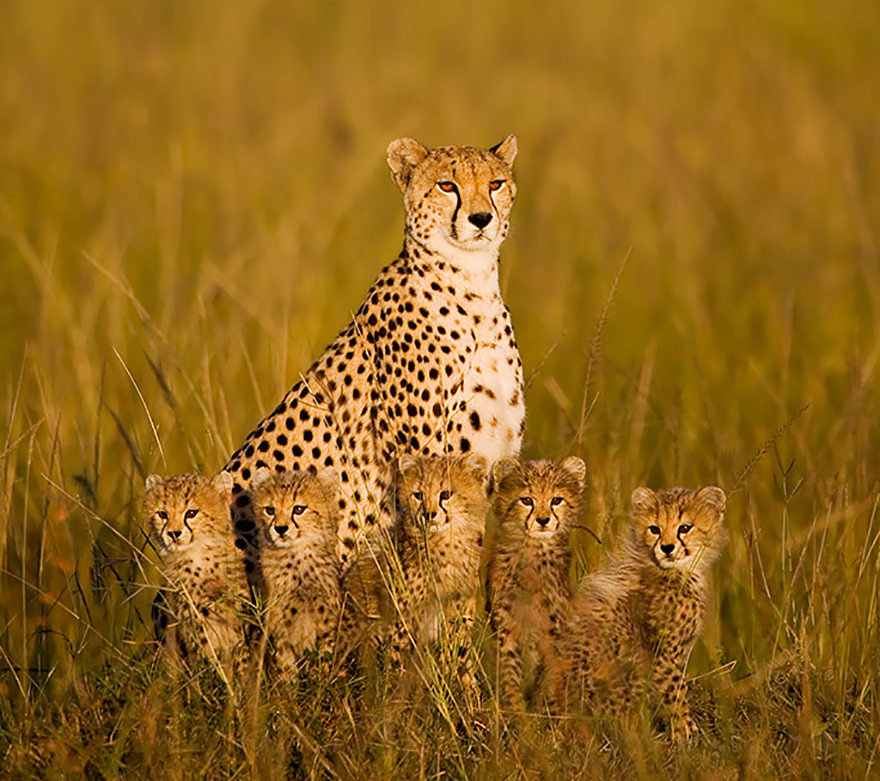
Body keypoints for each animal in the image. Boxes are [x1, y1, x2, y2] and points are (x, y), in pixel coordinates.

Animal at [142, 472, 251, 675]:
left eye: (191, 513)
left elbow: (243, 656)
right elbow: (206, 657)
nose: (173, 534)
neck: (199, 557)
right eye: (162, 514)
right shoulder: (193, 623)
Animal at [249, 468, 342, 677]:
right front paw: (289, 684)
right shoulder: (279, 630)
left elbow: (322, 660)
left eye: (299, 509)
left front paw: (320, 682)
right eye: (270, 510)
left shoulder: (326, 625)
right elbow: (286, 666)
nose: (280, 528)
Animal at [485, 456, 587, 713]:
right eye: (527, 500)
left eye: (556, 500)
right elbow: (510, 672)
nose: (543, 520)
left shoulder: (554, 631)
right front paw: (517, 711)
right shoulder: (505, 623)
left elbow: (549, 678)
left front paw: (544, 714)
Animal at [558, 485, 727, 740]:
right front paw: (686, 732)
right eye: (654, 529)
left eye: (684, 528)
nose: (667, 548)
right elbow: (676, 692)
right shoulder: (662, 656)